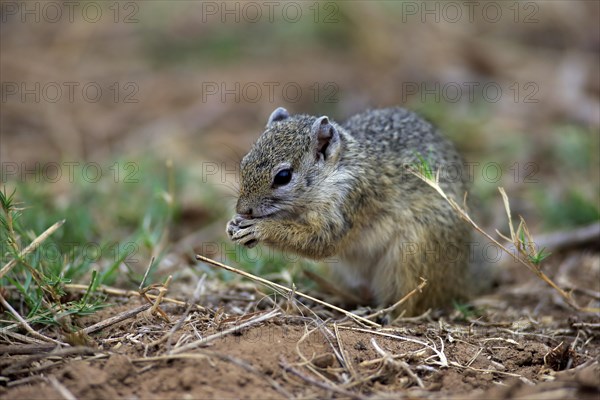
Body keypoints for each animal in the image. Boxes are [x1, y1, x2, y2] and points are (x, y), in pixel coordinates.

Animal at [227, 106, 476, 316]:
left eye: (283, 176)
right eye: (244, 163)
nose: (243, 209)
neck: (334, 173)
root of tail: (462, 276)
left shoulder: (351, 200)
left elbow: (321, 241)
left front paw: (261, 228)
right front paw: (233, 224)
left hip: (413, 257)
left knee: (411, 301)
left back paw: (384, 313)